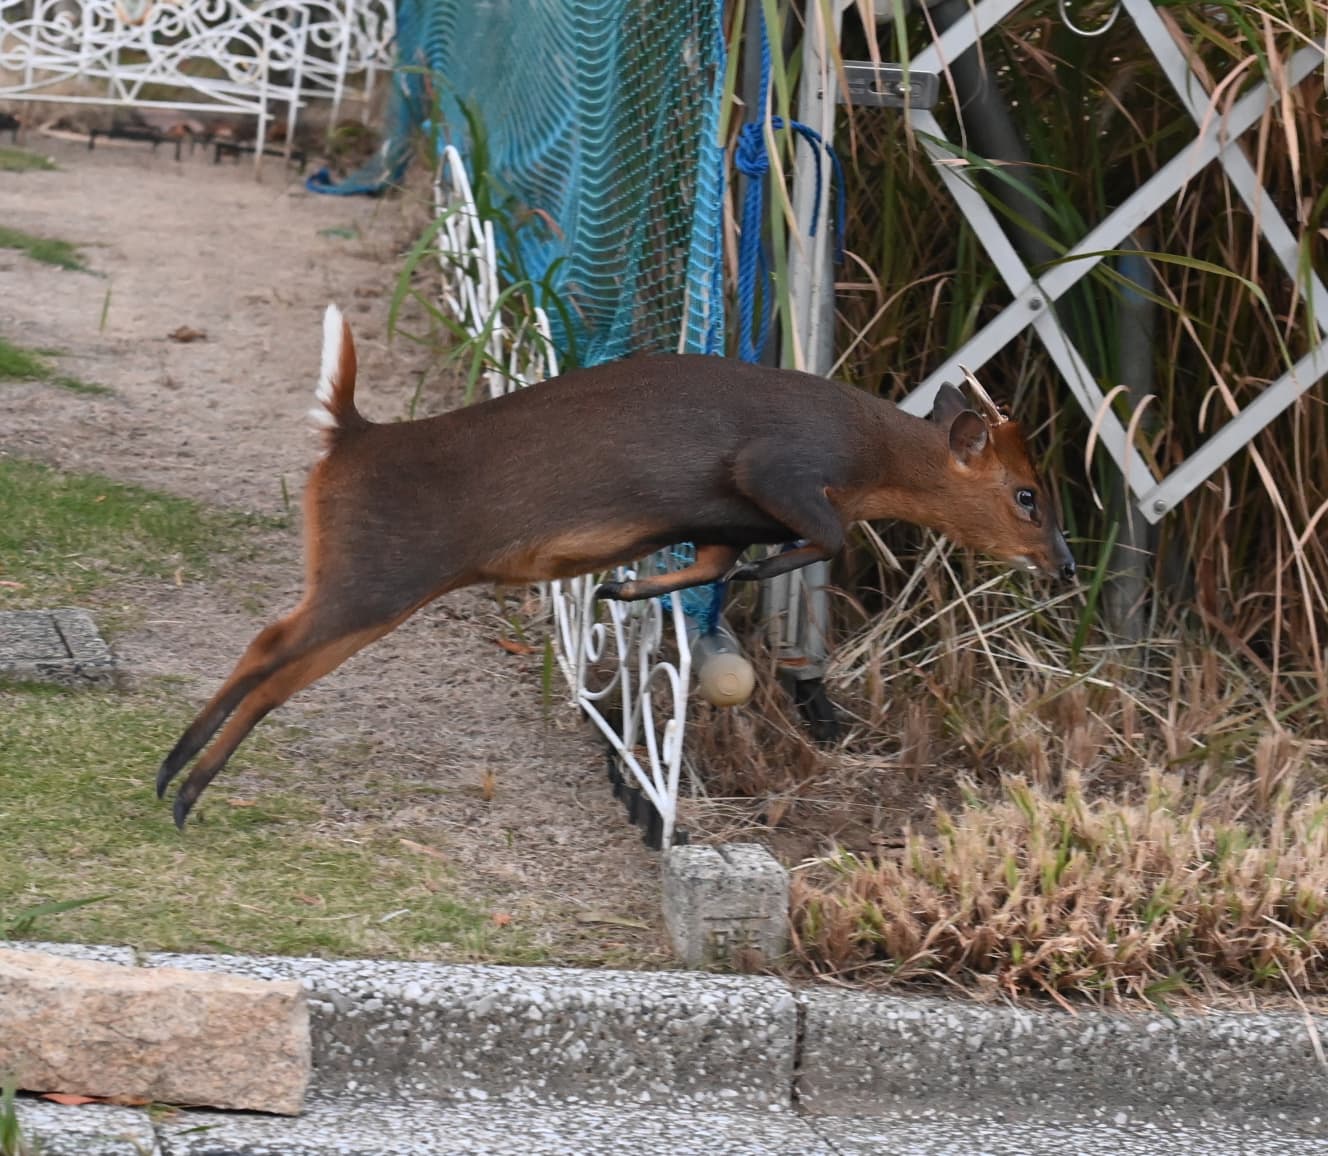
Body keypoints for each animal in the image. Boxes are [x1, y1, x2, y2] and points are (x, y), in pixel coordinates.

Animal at [152, 309, 1078, 823]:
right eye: (1028, 495)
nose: (1065, 564)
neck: (871, 457)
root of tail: (349, 434)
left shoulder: (720, 521)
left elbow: (711, 564)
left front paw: (623, 583)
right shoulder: (774, 468)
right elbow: (823, 537)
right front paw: (740, 582)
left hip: (352, 571)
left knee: (266, 642)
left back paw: (168, 776)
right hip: (379, 574)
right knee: (275, 658)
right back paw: (188, 792)